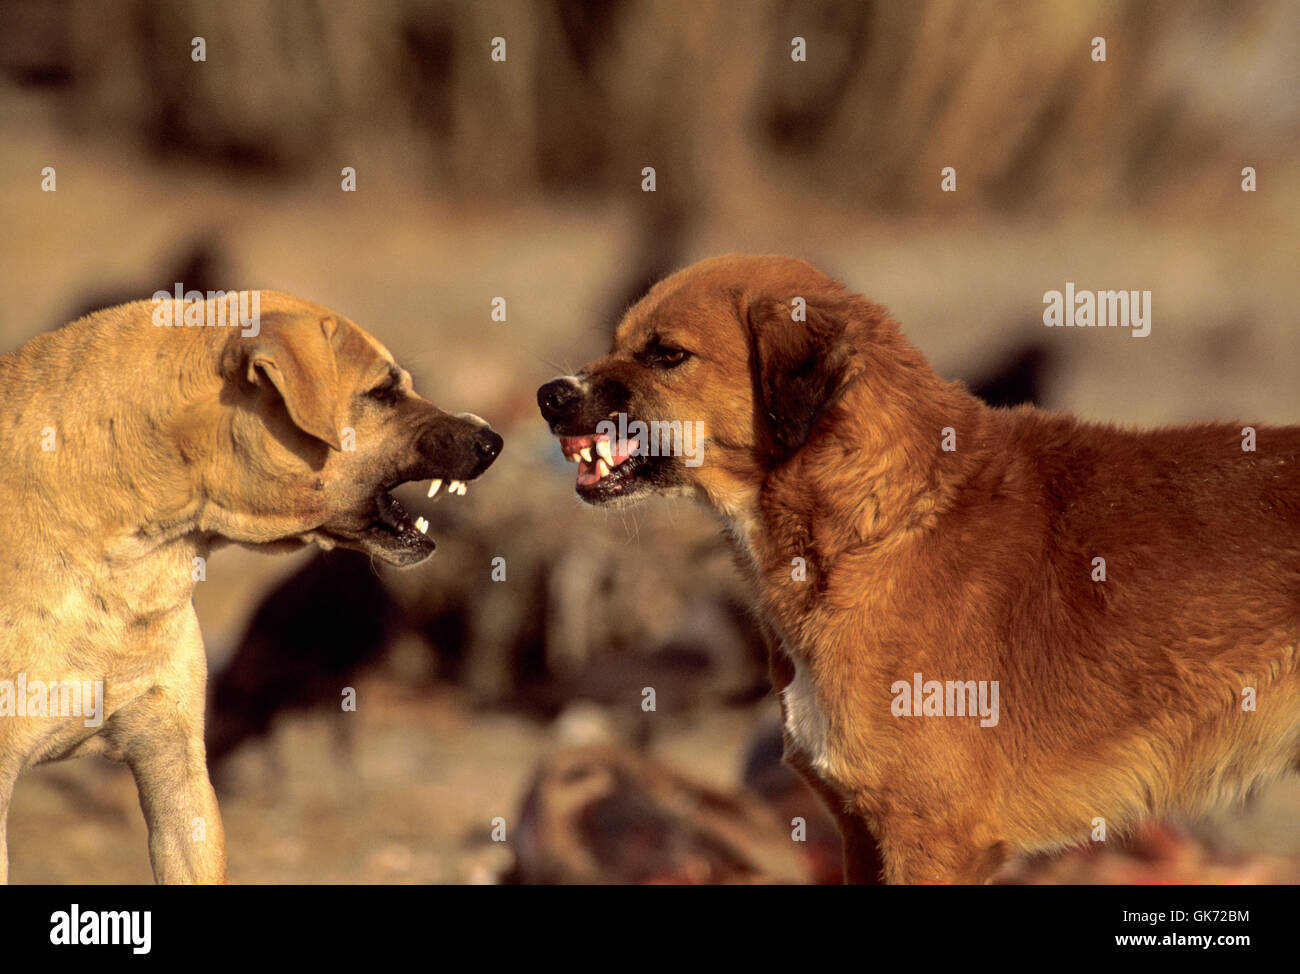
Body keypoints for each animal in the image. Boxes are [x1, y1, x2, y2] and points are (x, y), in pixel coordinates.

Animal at [538, 252, 1300, 879]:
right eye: (616, 344)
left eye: (667, 354)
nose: (550, 396)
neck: (880, 527)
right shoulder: (861, 835)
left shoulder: (930, 840)